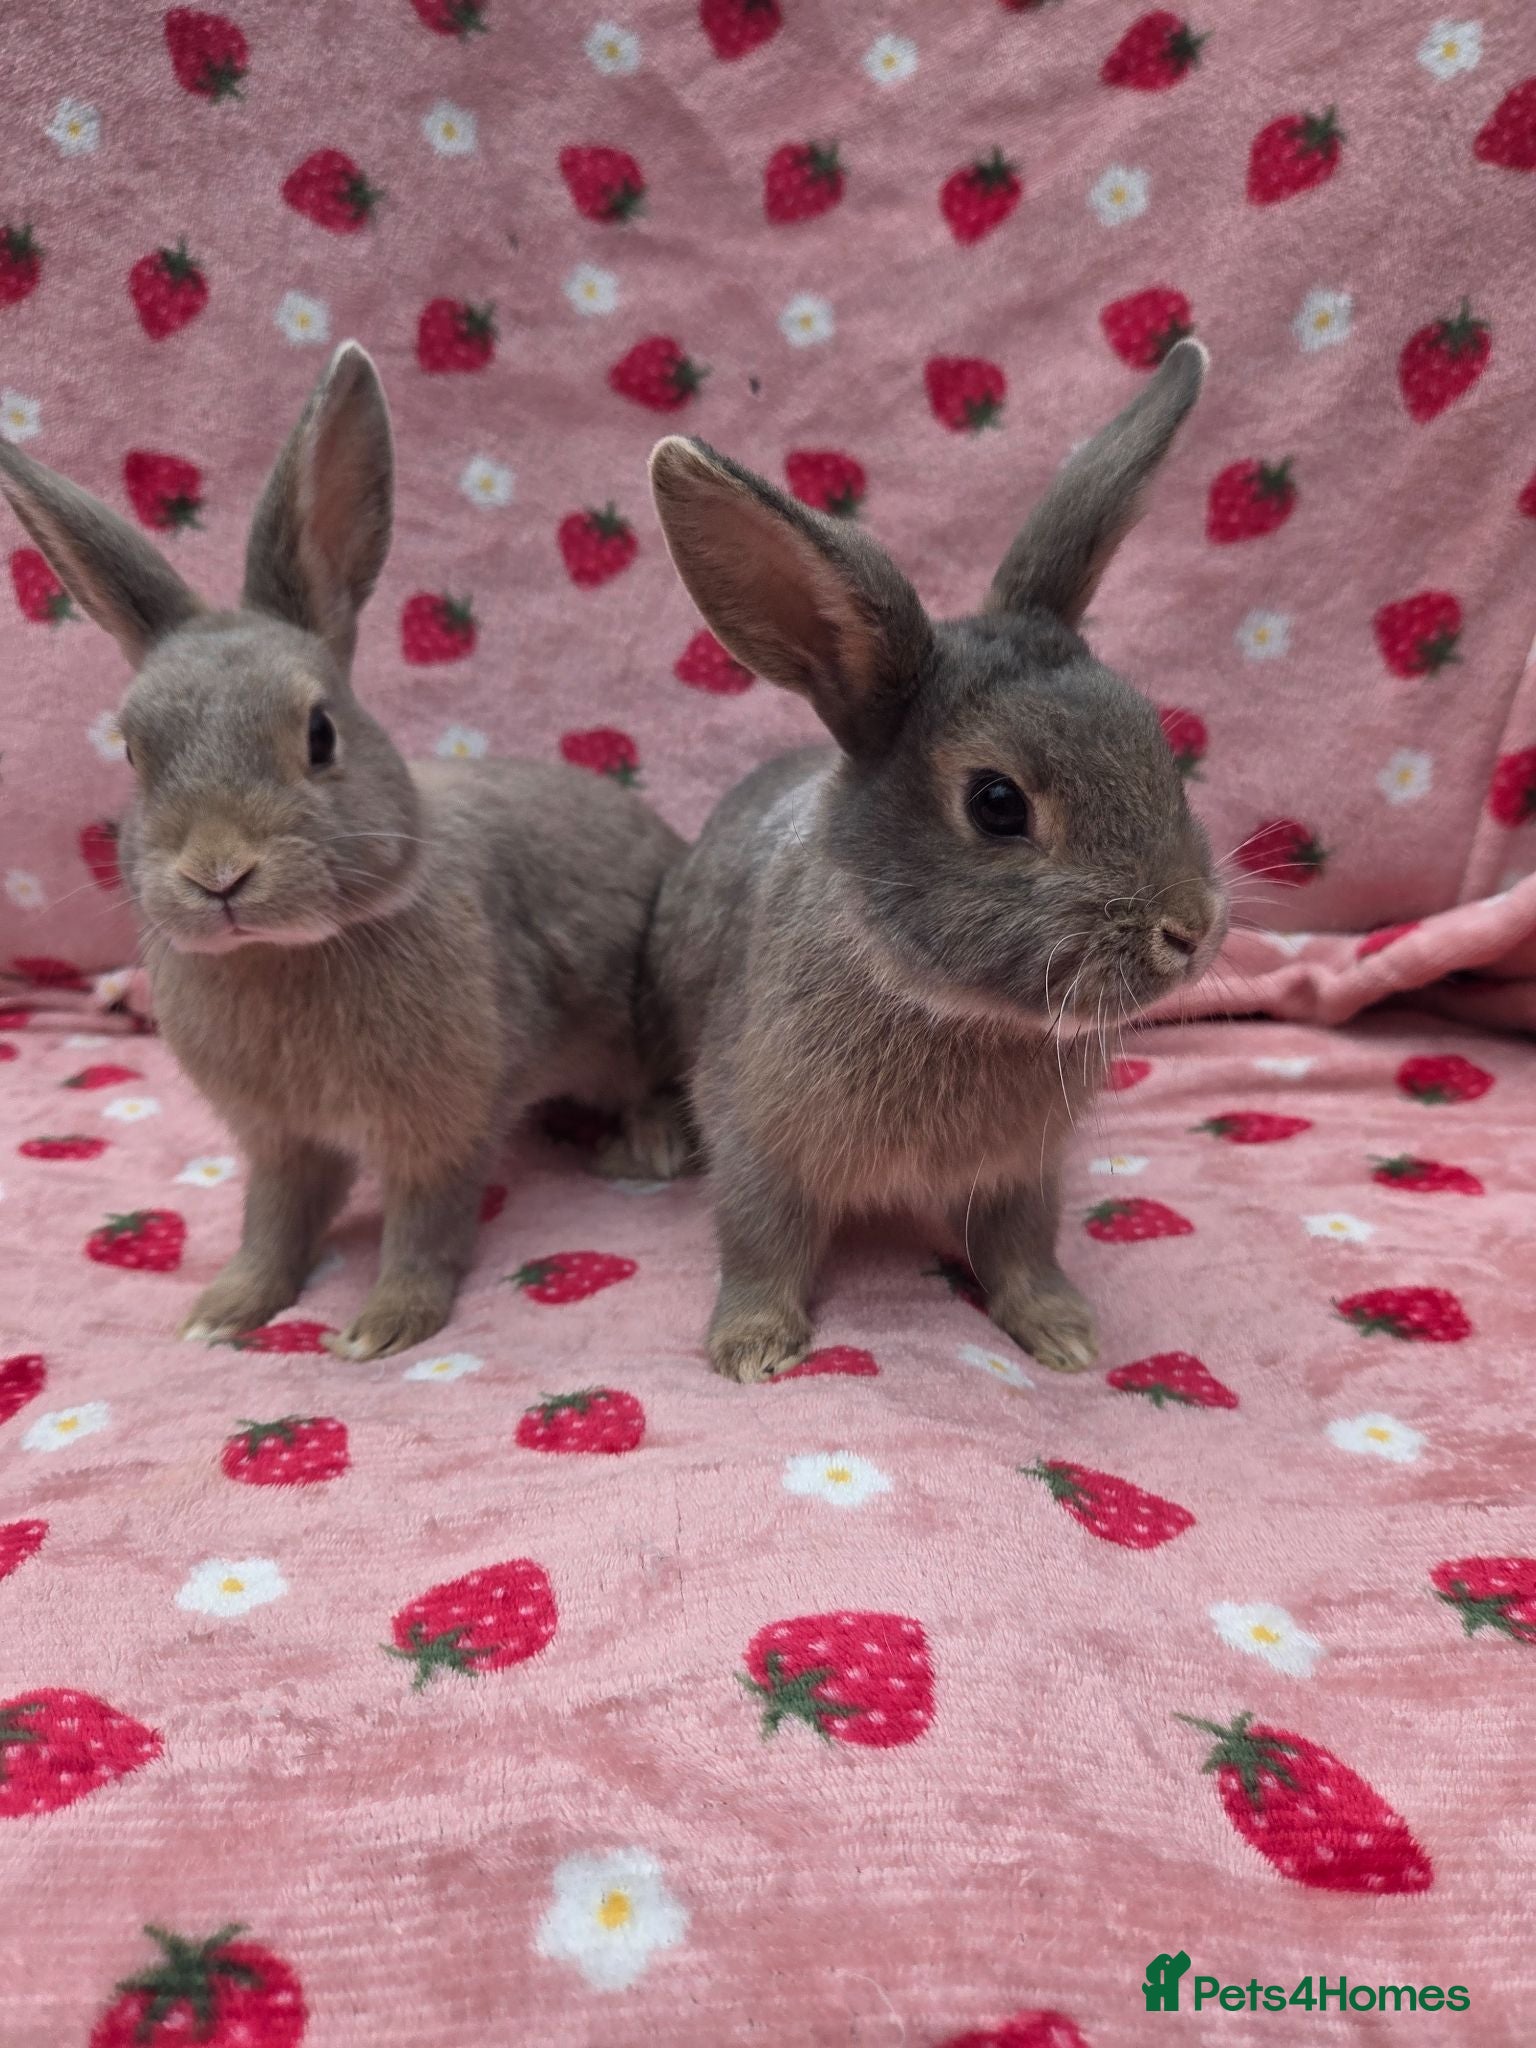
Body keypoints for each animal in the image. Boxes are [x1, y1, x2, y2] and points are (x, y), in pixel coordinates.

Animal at [0, 341, 686, 1361]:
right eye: (131, 752)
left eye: (320, 735)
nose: (218, 873)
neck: (284, 953)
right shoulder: (281, 1142)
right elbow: (273, 1221)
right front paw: (224, 1310)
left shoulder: (441, 1131)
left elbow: (425, 1227)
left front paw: (385, 1327)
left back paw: (649, 1144)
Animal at [643, 339, 1225, 1383]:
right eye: (997, 803)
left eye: (1159, 743)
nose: (1192, 929)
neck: (947, 1003)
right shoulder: (755, 1138)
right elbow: (758, 1241)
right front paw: (751, 1348)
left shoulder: (1022, 1173)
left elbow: (1023, 1245)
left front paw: (1064, 1333)